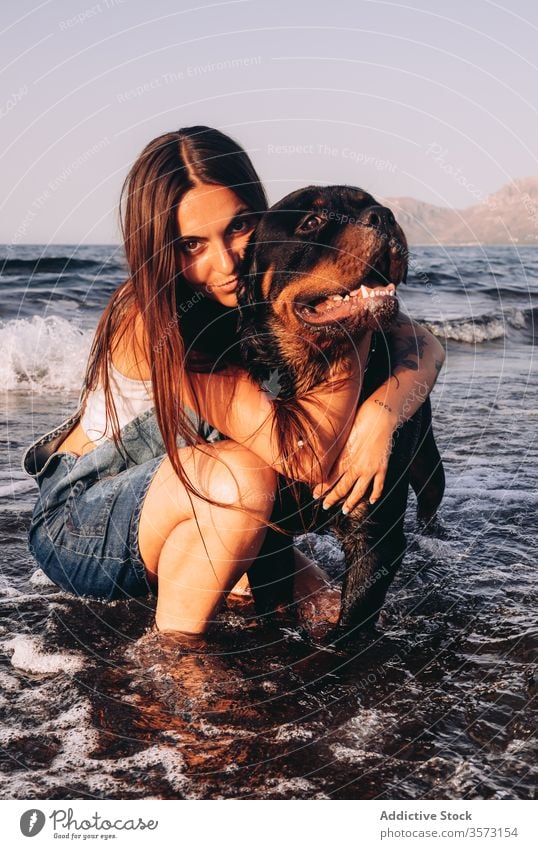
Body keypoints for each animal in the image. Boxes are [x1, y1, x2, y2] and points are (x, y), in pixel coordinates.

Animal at [237, 187, 442, 636]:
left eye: (371, 202)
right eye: (311, 222)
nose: (384, 215)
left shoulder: (375, 534)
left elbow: (350, 630)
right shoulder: (267, 534)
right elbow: (272, 603)